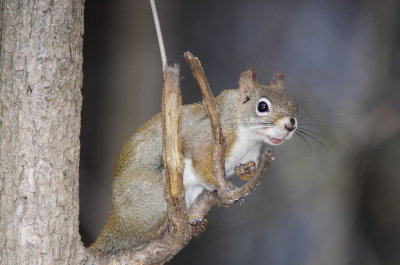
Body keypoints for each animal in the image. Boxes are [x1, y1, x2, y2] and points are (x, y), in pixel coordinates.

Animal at [90, 68, 296, 254]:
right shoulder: (207, 135)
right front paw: (220, 186)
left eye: (295, 105)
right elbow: (201, 159)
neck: (251, 138)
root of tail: (119, 222)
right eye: (262, 107)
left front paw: (246, 171)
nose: (291, 125)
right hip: (153, 196)